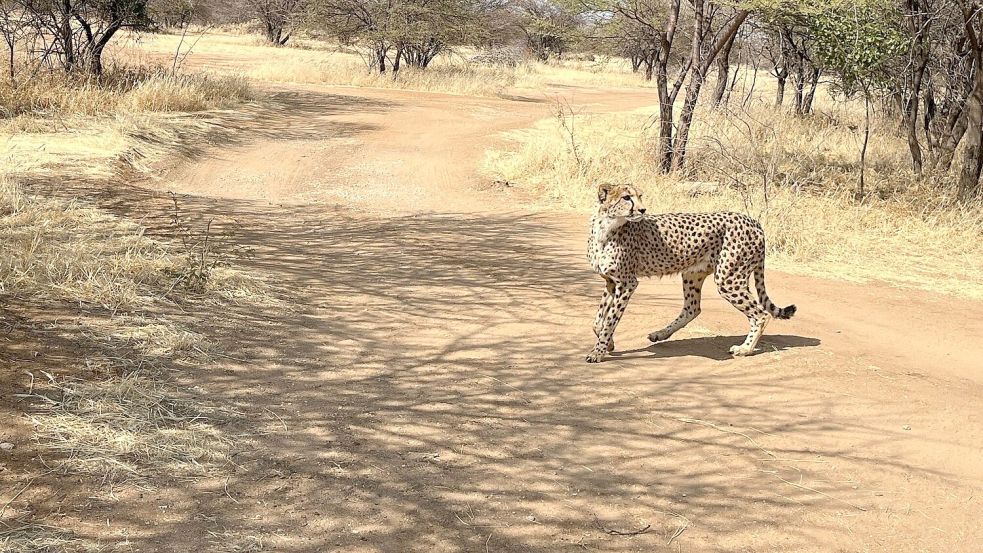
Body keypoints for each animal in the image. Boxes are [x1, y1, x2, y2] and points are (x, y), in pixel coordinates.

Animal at [588, 181, 796, 362]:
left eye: (640, 196)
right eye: (626, 197)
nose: (642, 210)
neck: (606, 228)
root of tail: (752, 221)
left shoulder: (627, 283)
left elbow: (610, 320)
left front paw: (598, 352)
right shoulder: (611, 281)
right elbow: (598, 320)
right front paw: (608, 344)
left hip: (728, 280)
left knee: (761, 314)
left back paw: (745, 349)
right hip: (693, 274)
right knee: (692, 308)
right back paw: (660, 334)